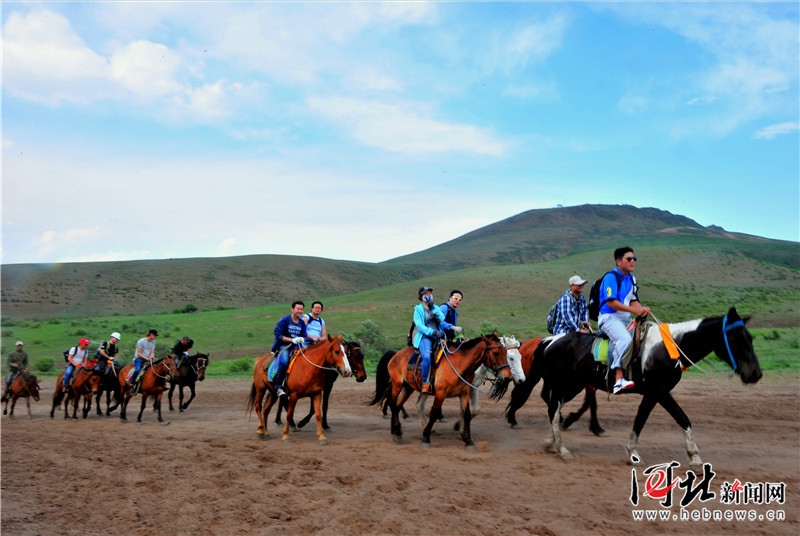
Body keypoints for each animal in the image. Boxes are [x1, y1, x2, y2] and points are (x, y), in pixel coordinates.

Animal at [370, 336, 524, 448]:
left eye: (507, 354)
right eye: (497, 353)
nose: (511, 377)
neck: (460, 365)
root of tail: (396, 354)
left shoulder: (465, 393)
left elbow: (468, 413)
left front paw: (467, 438)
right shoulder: (441, 394)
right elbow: (434, 414)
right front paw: (426, 438)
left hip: (408, 387)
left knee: (399, 405)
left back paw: (399, 431)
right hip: (398, 385)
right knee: (393, 403)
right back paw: (398, 431)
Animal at [532, 308, 764, 472]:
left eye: (751, 338)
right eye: (736, 338)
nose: (755, 373)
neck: (670, 347)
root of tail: (550, 341)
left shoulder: (654, 394)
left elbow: (641, 419)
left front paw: (633, 452)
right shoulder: (659, 391)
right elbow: (682, 417)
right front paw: (695, 458)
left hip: (574, 385)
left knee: (555, 408)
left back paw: (552, 441)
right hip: (564, 384)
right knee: (553, 409)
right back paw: (562, 448)